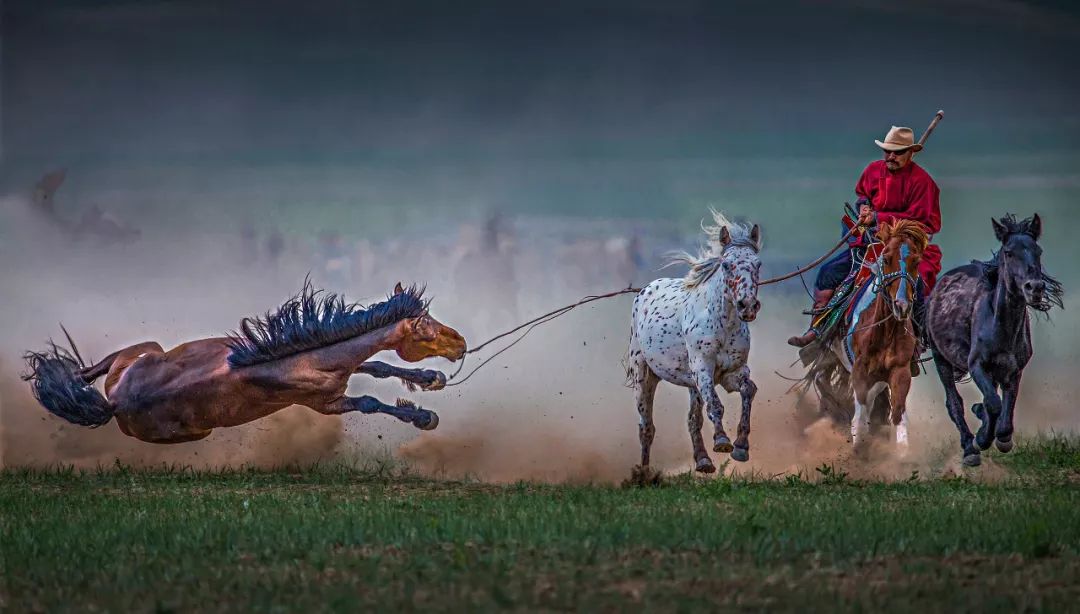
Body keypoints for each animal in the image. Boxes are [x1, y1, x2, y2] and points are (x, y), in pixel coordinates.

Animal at [22, 280, 464, 442]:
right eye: (425, 327)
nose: (461, 345)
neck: (301, 361)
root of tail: (113, 404)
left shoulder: (341, 370)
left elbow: (377, 366)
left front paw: (431, 377)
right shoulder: (325, 404)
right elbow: (370, 401)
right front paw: (424, 416)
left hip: (139, 352)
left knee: (92, 369)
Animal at [630, 208, 764, 472]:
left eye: (758, 264)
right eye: (727, 264)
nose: (747, 305)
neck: (723, 325)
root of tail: (646, 289)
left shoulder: (732, 372)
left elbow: (748, 390)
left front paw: (741, 446)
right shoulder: (703, 369)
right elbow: (716, 404)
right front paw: (722, 441)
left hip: (692, 384)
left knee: (693, 418)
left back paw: (703, 460)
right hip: (644, 376)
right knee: (646, 427)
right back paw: (644, 473)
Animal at [928, 214, 1062, 464]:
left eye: (1038, 250)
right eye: (1008, 252)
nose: (1035, 287)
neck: (1000, 327)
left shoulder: (1013, 370)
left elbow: (1004, 408)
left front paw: (1001, 437)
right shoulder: (976, 365)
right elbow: (993, 403)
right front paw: (980, 440)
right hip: (940, 357)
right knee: (954, 402)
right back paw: (969, 448)